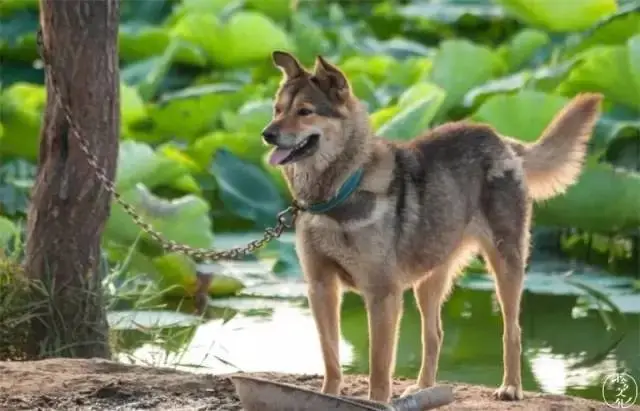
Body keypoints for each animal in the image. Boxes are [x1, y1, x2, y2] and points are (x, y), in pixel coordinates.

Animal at [260, 50, 600, 404]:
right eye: (277, 109)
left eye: (305, 112)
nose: (267, 134)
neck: (337, 193)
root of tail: (502, 141)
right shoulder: (321, 287)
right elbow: (331, 356)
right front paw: (328, 395)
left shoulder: (382, 293)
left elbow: (379, 364)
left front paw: (377, 402)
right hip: (430, 277)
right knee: (434, 333)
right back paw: (424, 387)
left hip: (505, 264)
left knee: (512, 330)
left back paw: (511, 386)